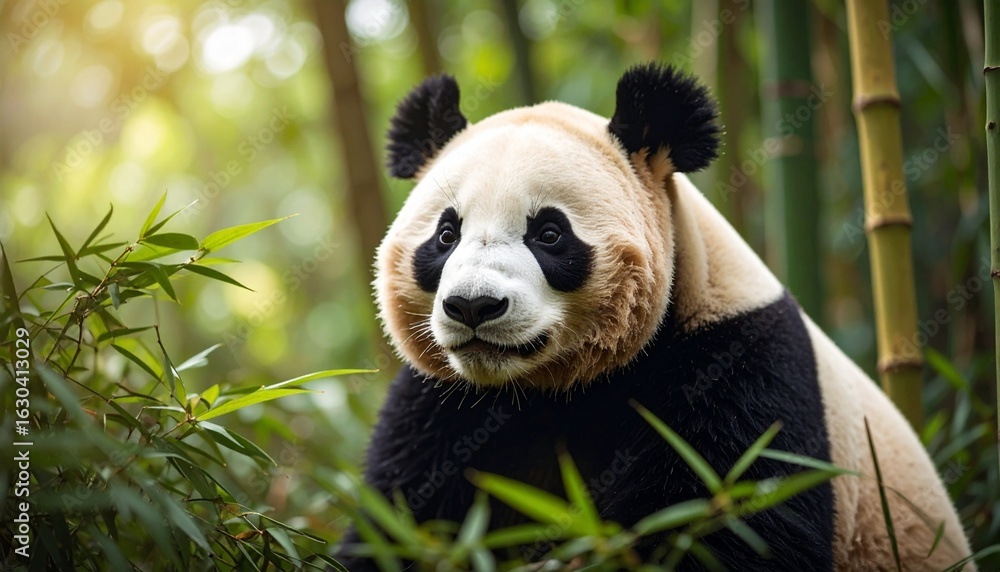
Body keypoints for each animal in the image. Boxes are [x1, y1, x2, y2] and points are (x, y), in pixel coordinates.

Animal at [337, 63, 975, 571]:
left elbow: (732, 523)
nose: (474, 306)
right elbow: (398, 519)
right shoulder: (444, 407)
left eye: (549, 234)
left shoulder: (737, 366)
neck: (546, 390)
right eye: (445, 236)